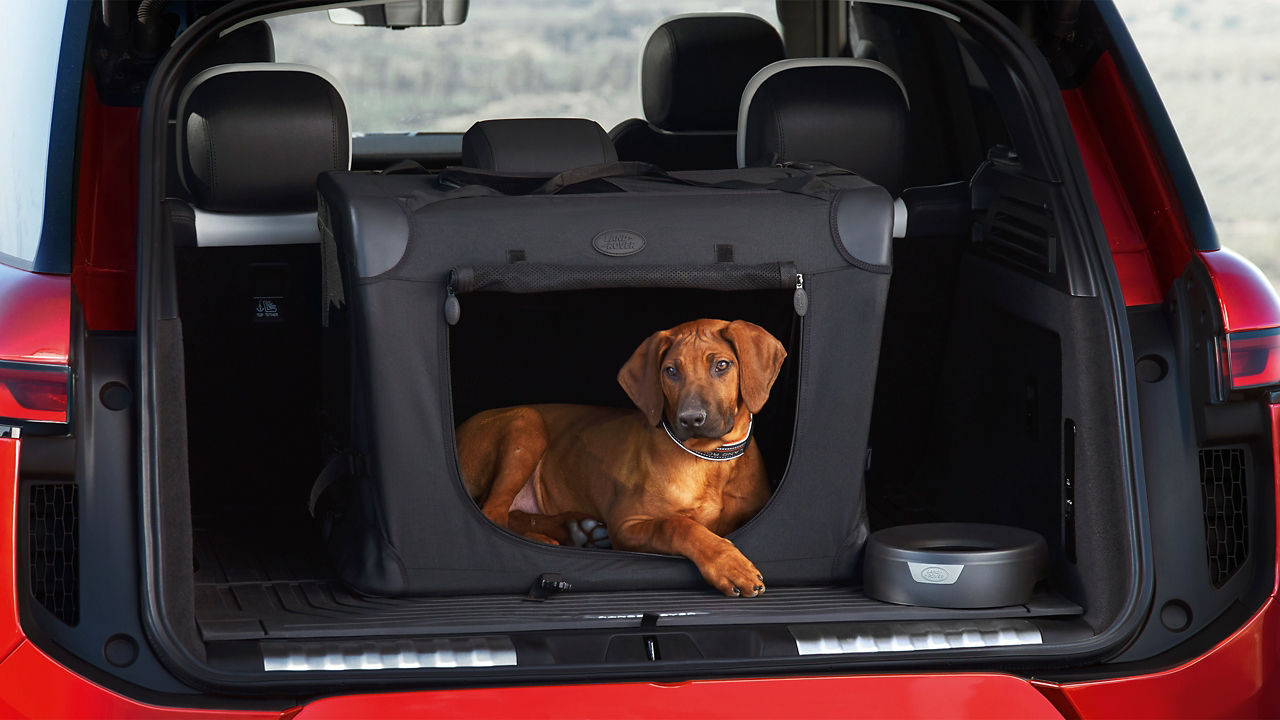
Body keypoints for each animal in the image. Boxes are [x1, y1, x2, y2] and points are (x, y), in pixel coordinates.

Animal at [455, 317, 783, 594]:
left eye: (722, 365)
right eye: (671, 371)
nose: (691, 419)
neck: (709, 459)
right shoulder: (627, 525)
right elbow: (677, 525)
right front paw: (729, 564)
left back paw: (578, 530)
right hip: (526, 422)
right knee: (493, 513)